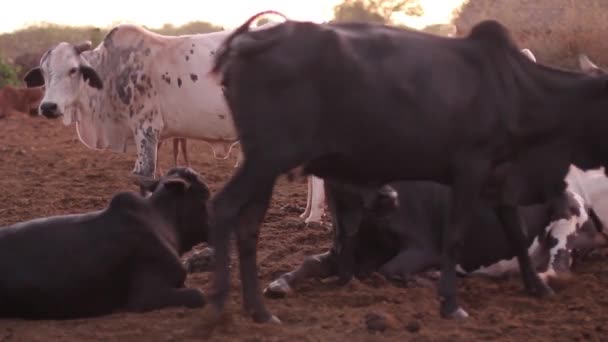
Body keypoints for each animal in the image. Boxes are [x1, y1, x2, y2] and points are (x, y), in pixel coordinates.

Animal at [205, 9, 608, 322]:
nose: (388, 198)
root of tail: (246, 41)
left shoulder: (499, 176)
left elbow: (515, 235)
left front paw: (534, 288)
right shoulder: (471, 167)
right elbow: (453, 237)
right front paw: (450, 304)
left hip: (265, 165)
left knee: (248, 224)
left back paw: (258, 311)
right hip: (265, 158)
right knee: (224, 208)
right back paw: (223, 306)